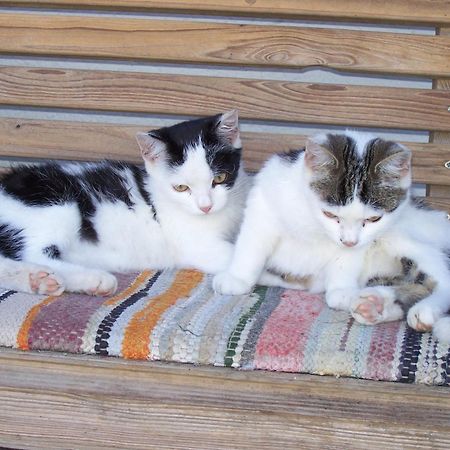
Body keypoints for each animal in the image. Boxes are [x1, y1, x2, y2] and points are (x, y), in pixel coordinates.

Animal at [0, 110, 248, 298]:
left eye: (220, 178)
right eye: (181, 188)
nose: (206, 206)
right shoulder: (196, 244)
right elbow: (233, 254)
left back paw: (41, 280)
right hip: (57, 203)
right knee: (33, 253)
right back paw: (83, 278)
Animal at [214, 132, 450, 342]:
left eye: (373, 219)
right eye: (330, 214)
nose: (349, 241)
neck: (312, 223)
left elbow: (347, 259)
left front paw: (341, 289)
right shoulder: (264, 201)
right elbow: (252, 244)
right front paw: (237, 277)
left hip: (405, 238)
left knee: (441, 279)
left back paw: (425, 312)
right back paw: (374, 304)